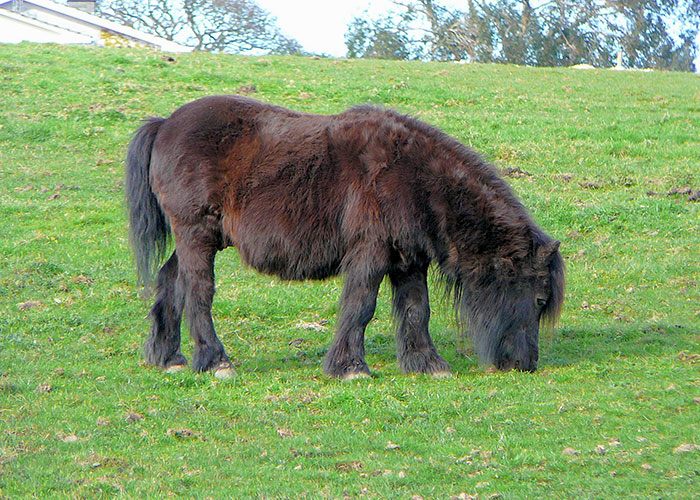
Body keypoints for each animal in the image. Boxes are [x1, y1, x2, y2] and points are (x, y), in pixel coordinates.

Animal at [124, 95, 564, 380]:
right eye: (540, 299)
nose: (525, 364)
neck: (411, 176)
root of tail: (165, 124)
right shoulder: (370, 253)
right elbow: (360, 306)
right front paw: (350, 368)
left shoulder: (408, 261)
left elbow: (415, 311)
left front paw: (427, 365)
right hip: (196, 234)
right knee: (198, 292)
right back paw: (216, 362)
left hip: (197, 239)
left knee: (171, 282)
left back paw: (169, 357)